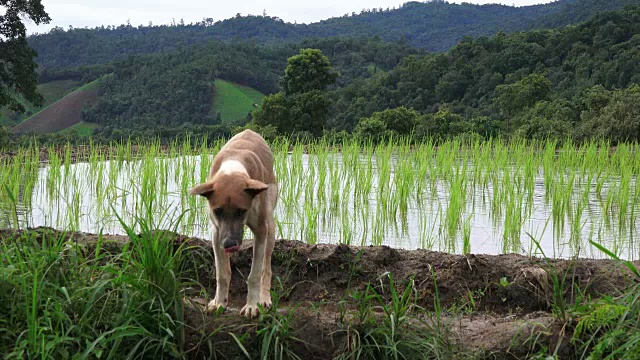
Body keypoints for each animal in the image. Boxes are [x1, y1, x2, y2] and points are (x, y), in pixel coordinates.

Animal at [191, 129, 278, 318]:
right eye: (217, 211)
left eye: (241, 211)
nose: (229, 244)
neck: (232, 172)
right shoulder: (216, 233)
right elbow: (222, 273)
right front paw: (219, 303)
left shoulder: (261, 230)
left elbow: (255, 274)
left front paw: (252, 305)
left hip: (270, 226)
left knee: (266, 267)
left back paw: (264, 297)